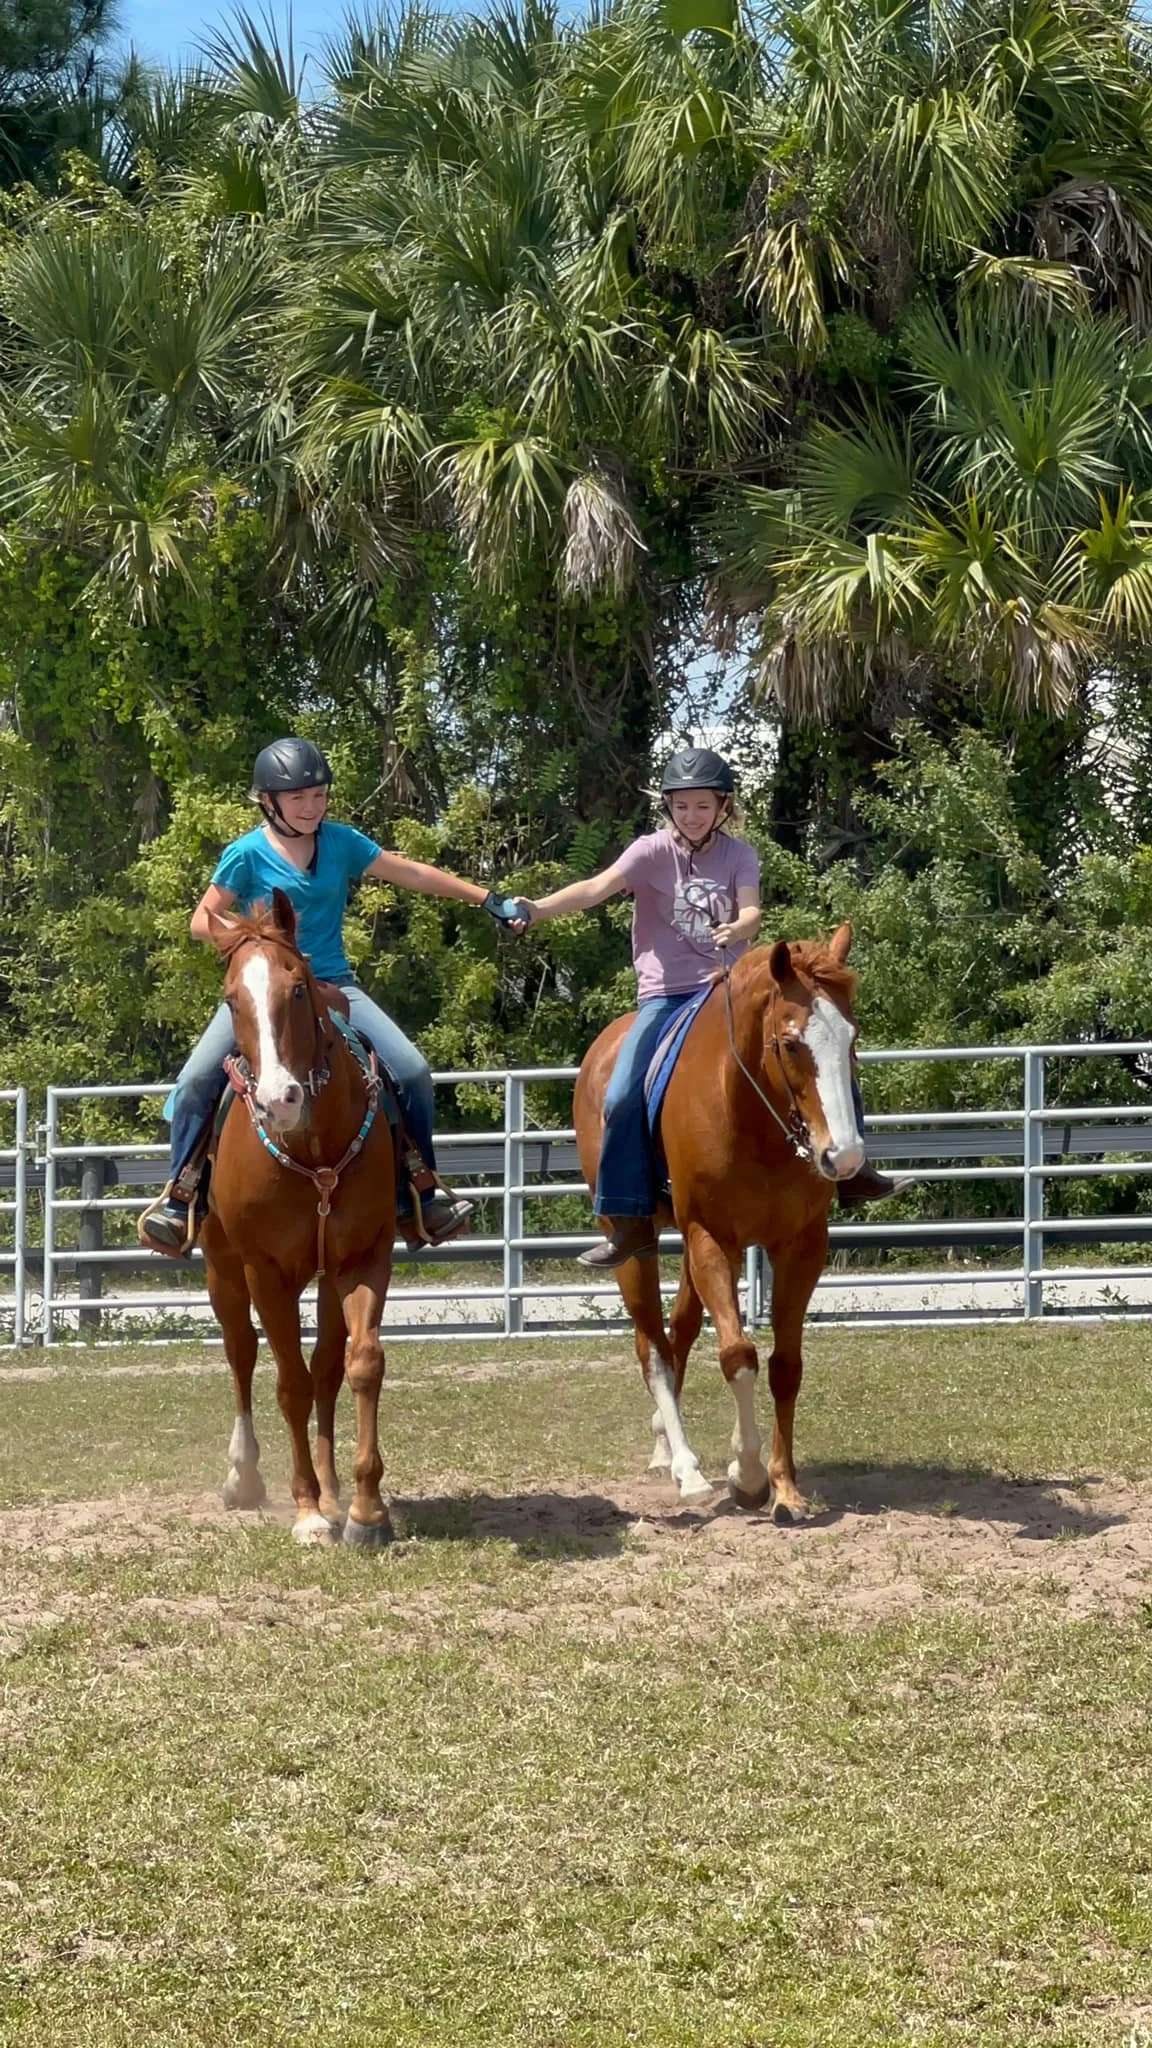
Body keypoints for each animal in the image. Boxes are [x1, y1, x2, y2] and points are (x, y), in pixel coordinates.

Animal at [198, 888, 398, 1549]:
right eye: (231, 999)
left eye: (299, 990)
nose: (278, 1100)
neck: (313, 1153)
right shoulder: (264, 1270)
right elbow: (288, 1384)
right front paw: (309, 1512)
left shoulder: (364, 1257)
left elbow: (360, 1365)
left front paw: (364, 1509)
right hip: (222, 1269)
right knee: (241, 1354)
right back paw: (245, 1477)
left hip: (327, 1278)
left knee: (327, 1370)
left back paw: (335, 1493)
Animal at [573, 924, 864, 1521]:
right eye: (792, 1042)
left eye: (851, 1038)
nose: (843, 1157)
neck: (751, 1115)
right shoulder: (710, 1237)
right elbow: (737, 1354)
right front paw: (747, 1477)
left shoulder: (801, 1245)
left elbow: (785, 1365)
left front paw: (783, 1486)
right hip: (634, 1244)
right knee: (654, 1349)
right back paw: (685, 1470)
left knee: (678, 1332)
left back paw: (669, 1444)